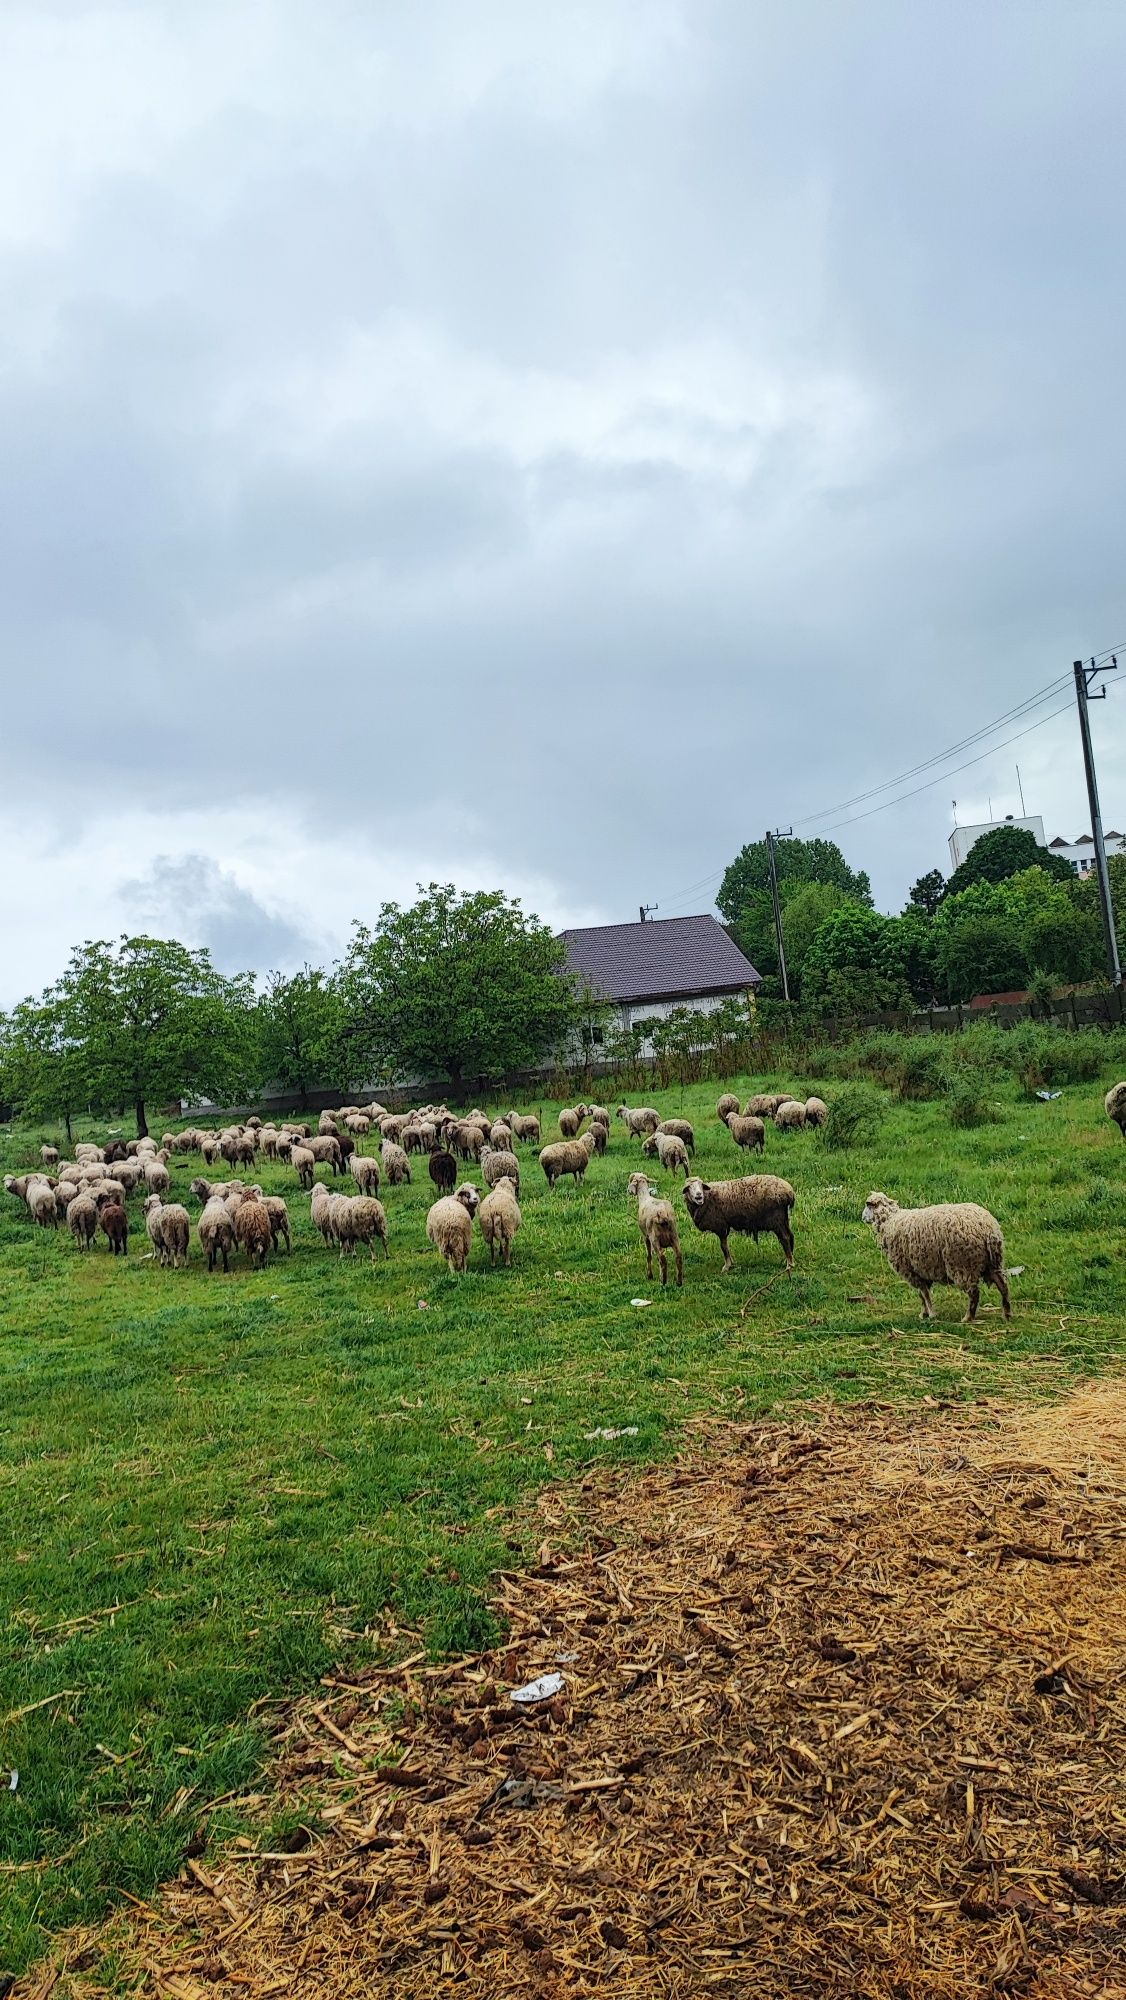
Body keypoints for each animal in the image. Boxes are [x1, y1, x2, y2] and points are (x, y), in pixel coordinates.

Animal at [864, 1184, 1012, 1328]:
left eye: (867, 1205)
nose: (863, 1217)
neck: (889, 1221)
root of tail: (988, 1230)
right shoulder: (920, 1271)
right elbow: (922, 1295)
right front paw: (924, 1313)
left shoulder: (911, 1271)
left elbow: (924, 1294)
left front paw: (930, 1314)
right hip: (993, 1262)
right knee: (1003, 1286)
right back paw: (1007, 1314)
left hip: (963, 1264)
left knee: (974, 1293)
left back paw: (968, 1318)